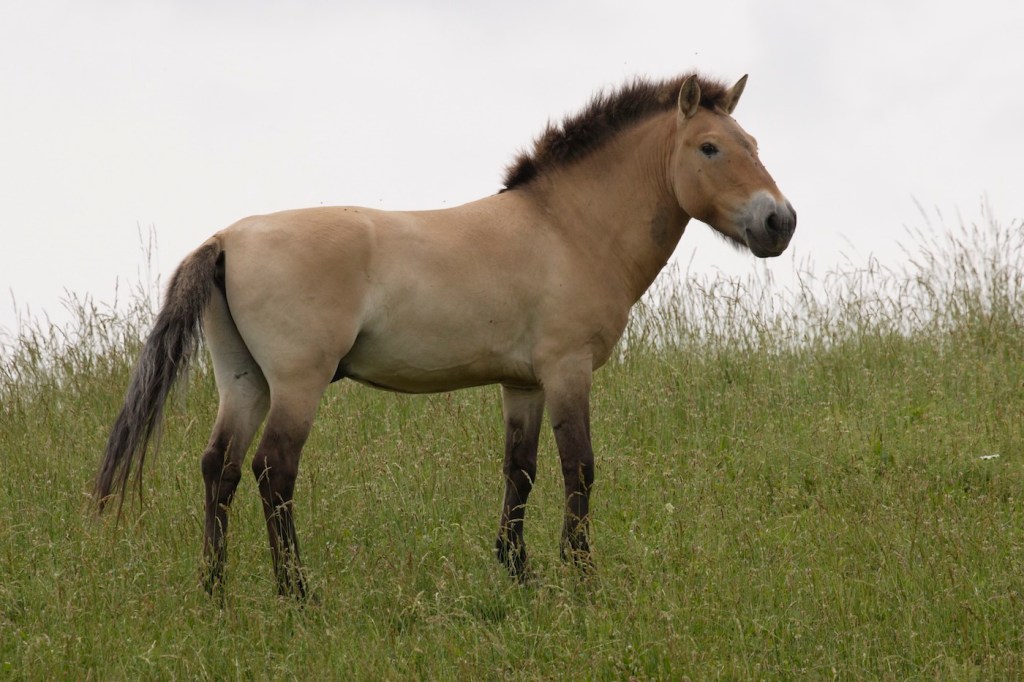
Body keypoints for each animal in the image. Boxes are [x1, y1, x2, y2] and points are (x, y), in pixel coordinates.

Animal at [96, 73, 794, 593]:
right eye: (710, 148)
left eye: (754, 141)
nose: (779, 222)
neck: (566, 227)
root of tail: (226, 240)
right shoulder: (567, 370)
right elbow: (580, 468)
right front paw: (580, 578)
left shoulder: (523, 384)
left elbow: (521, 472)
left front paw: (519, 572)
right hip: (297, 383)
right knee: (274, 470)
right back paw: (296, 592)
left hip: (245, 383)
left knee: (221, 468)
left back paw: (214, 589)